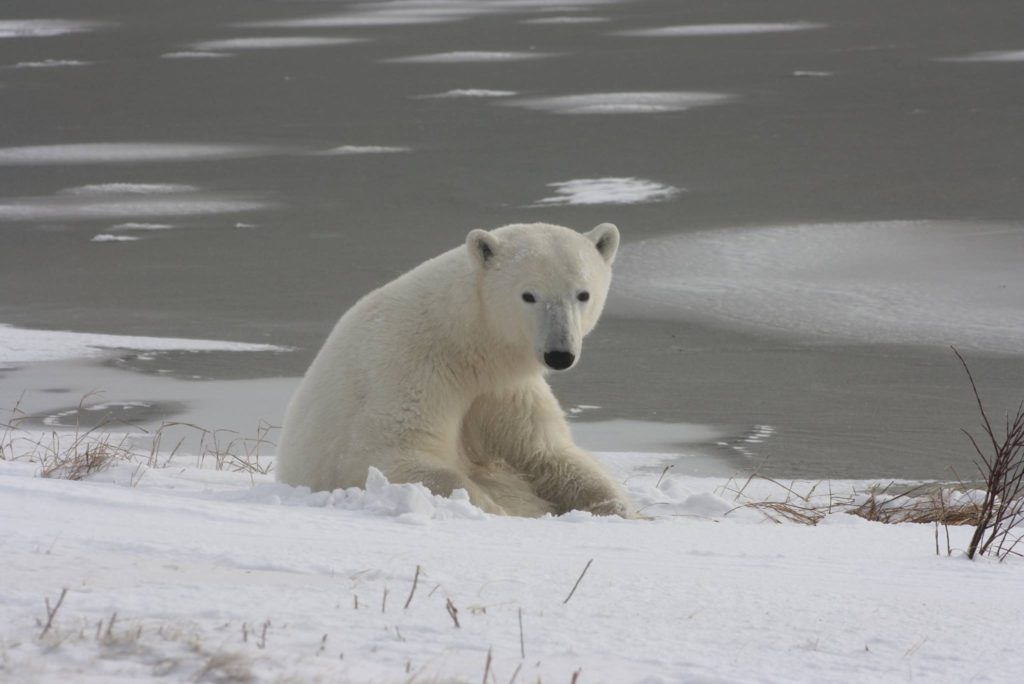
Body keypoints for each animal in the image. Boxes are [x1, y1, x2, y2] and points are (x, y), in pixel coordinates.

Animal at [276, 222, 634, 517]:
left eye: (582, 294)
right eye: (529, 295)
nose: (560, 354)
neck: (466, 345)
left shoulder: (503, 390)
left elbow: (545, 453)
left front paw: (620, 509)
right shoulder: (408, 369)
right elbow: (392, 458)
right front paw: (495, 510)